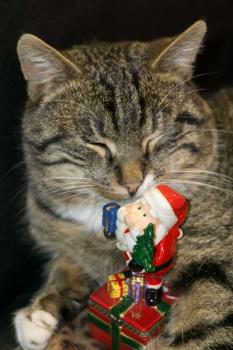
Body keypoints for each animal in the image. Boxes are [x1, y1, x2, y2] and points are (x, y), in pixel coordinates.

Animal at [15, 19, 233, 350]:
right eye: (96, 143)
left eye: (154, 138)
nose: (133, 183)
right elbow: (68, 261)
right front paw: (40, 311)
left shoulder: (217, 258)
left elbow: (207, 325)